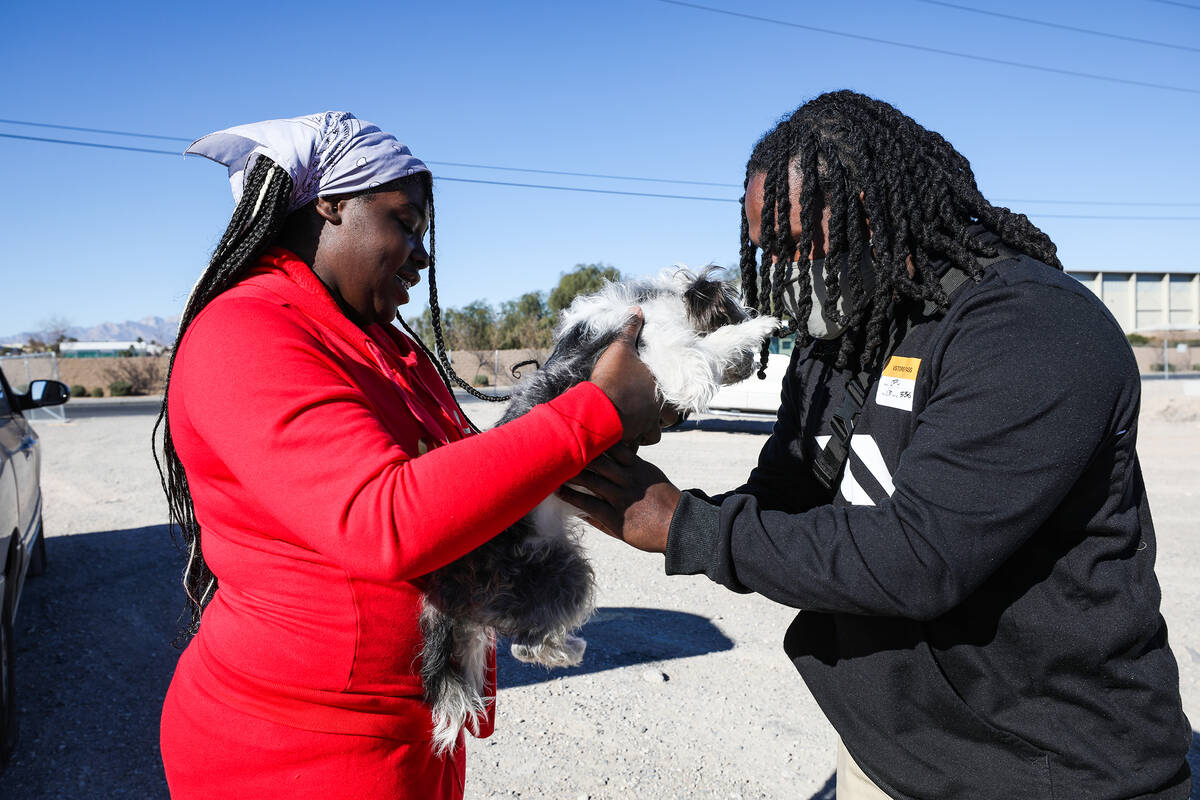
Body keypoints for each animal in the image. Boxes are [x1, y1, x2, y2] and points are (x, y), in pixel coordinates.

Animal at [420, 267, 777, 753]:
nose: (754, 367)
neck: (659, 298)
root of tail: (446, 582)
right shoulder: (670, 356)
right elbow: (705, 353)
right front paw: (759, 327)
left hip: (552, 568)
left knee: (524, 644)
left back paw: (569, 649)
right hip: (559, 574)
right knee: (524, 645)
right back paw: (574, 650)